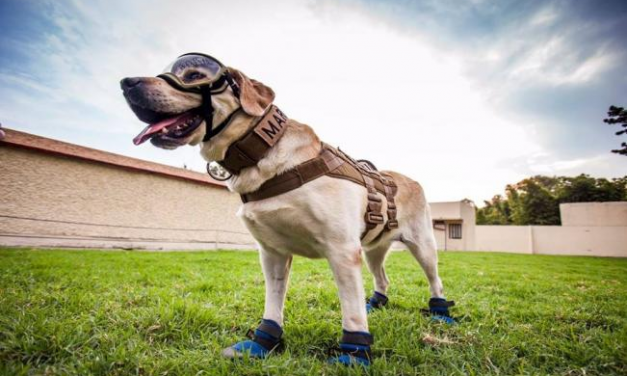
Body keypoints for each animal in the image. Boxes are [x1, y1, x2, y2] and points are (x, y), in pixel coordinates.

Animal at [121, 53, 456, 368]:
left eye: (193, 75)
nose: (127, 82)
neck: (261, 156)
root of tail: (411, 180)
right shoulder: (272, 252)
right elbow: (273, 304)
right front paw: (262, 342)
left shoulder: (342, 250)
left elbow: (350, 312)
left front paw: (354, 354)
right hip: (374, 249)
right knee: (382, 278)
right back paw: (375, 303)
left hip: (423, 245)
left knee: (435, 280)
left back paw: (440, 313)